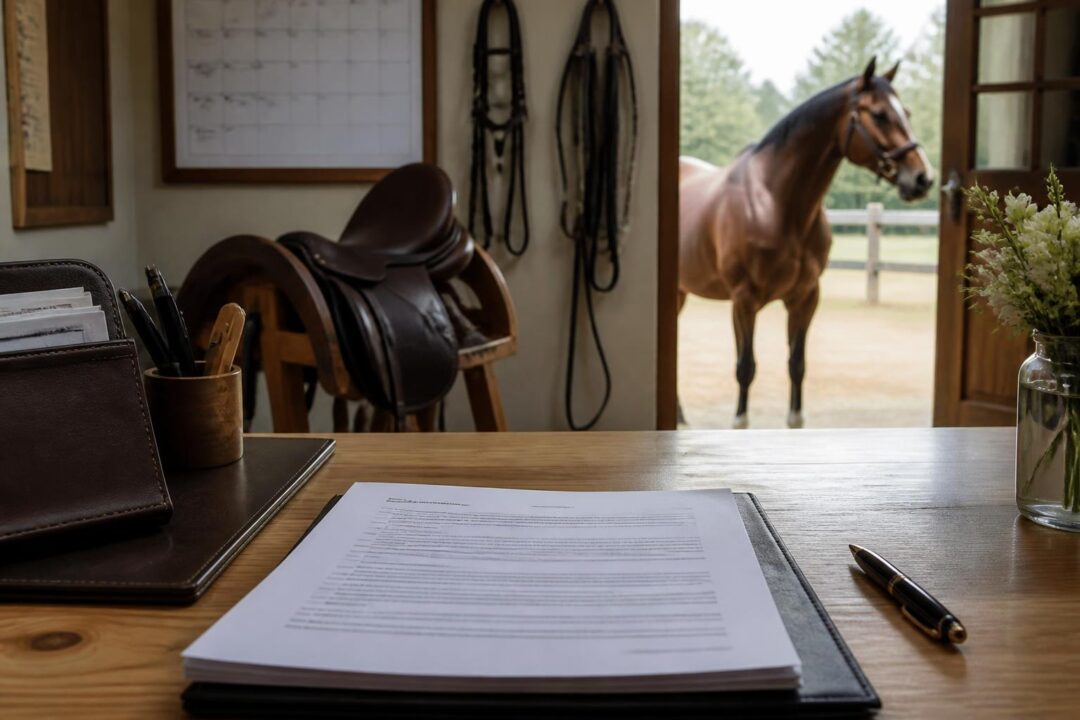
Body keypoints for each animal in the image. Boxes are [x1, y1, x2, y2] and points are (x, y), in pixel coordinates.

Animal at [678, 57, 935, 429]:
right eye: (879, 114)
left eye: (908, 112)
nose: (922, 178)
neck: (775, 202)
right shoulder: (743, 300)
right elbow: (745, 368)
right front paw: (739, 421)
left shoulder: (805, 297)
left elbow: (797, 366)